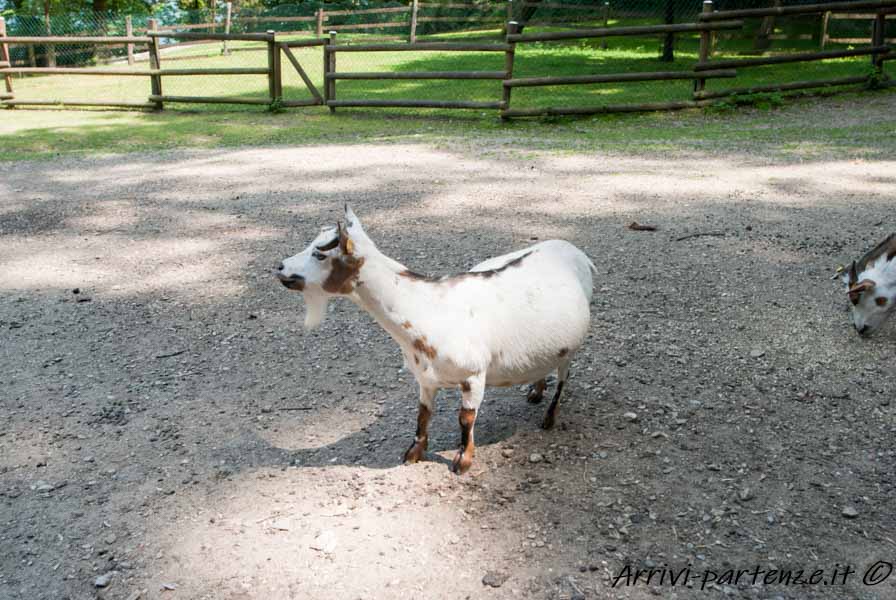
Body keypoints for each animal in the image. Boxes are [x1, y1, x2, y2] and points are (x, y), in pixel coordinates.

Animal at [274, 206, 596, 474]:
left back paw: (549, 417)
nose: (280, 267)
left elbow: (465, 419)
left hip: (572, 347)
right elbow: (423, 414)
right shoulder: (425, 378)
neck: (427, 307)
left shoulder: (474, 376)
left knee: (564, 376)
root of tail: (575, 252)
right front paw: (413, 453)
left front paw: (462, 462)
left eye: (319, 254)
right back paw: (536, 391)